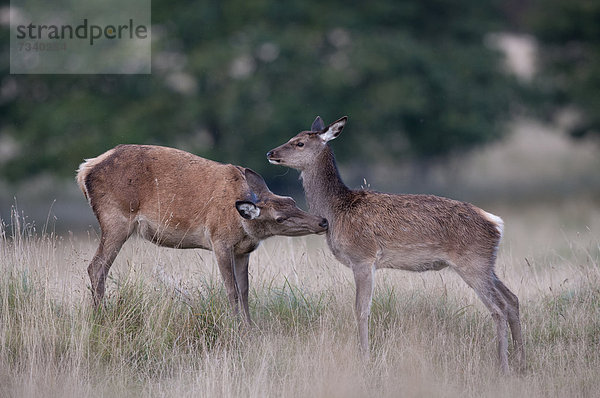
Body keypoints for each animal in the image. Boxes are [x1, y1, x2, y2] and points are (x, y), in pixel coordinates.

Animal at [77, 145, 328, 322]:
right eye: (279, 218)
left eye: (292, 200)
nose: (323, 221)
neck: (242, 224)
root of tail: (84, 170)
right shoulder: (219, 241)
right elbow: (231, 290)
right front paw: (237, 325)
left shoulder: (243, 251)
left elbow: (245, 291)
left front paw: (249, 325)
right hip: (116, 219)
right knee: (96, 267)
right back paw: (100, 316)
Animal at [268, 116, 524, 374]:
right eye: (292, 138)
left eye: (299, 143)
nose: (271, 152)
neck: (335, 211)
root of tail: (496, 223)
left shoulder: (363, 256)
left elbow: (361, 309)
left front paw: (364, 358)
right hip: (485, 263)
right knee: (512, 299)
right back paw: (521, 358)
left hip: (472, 262)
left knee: (499, 307)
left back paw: (503, 366)